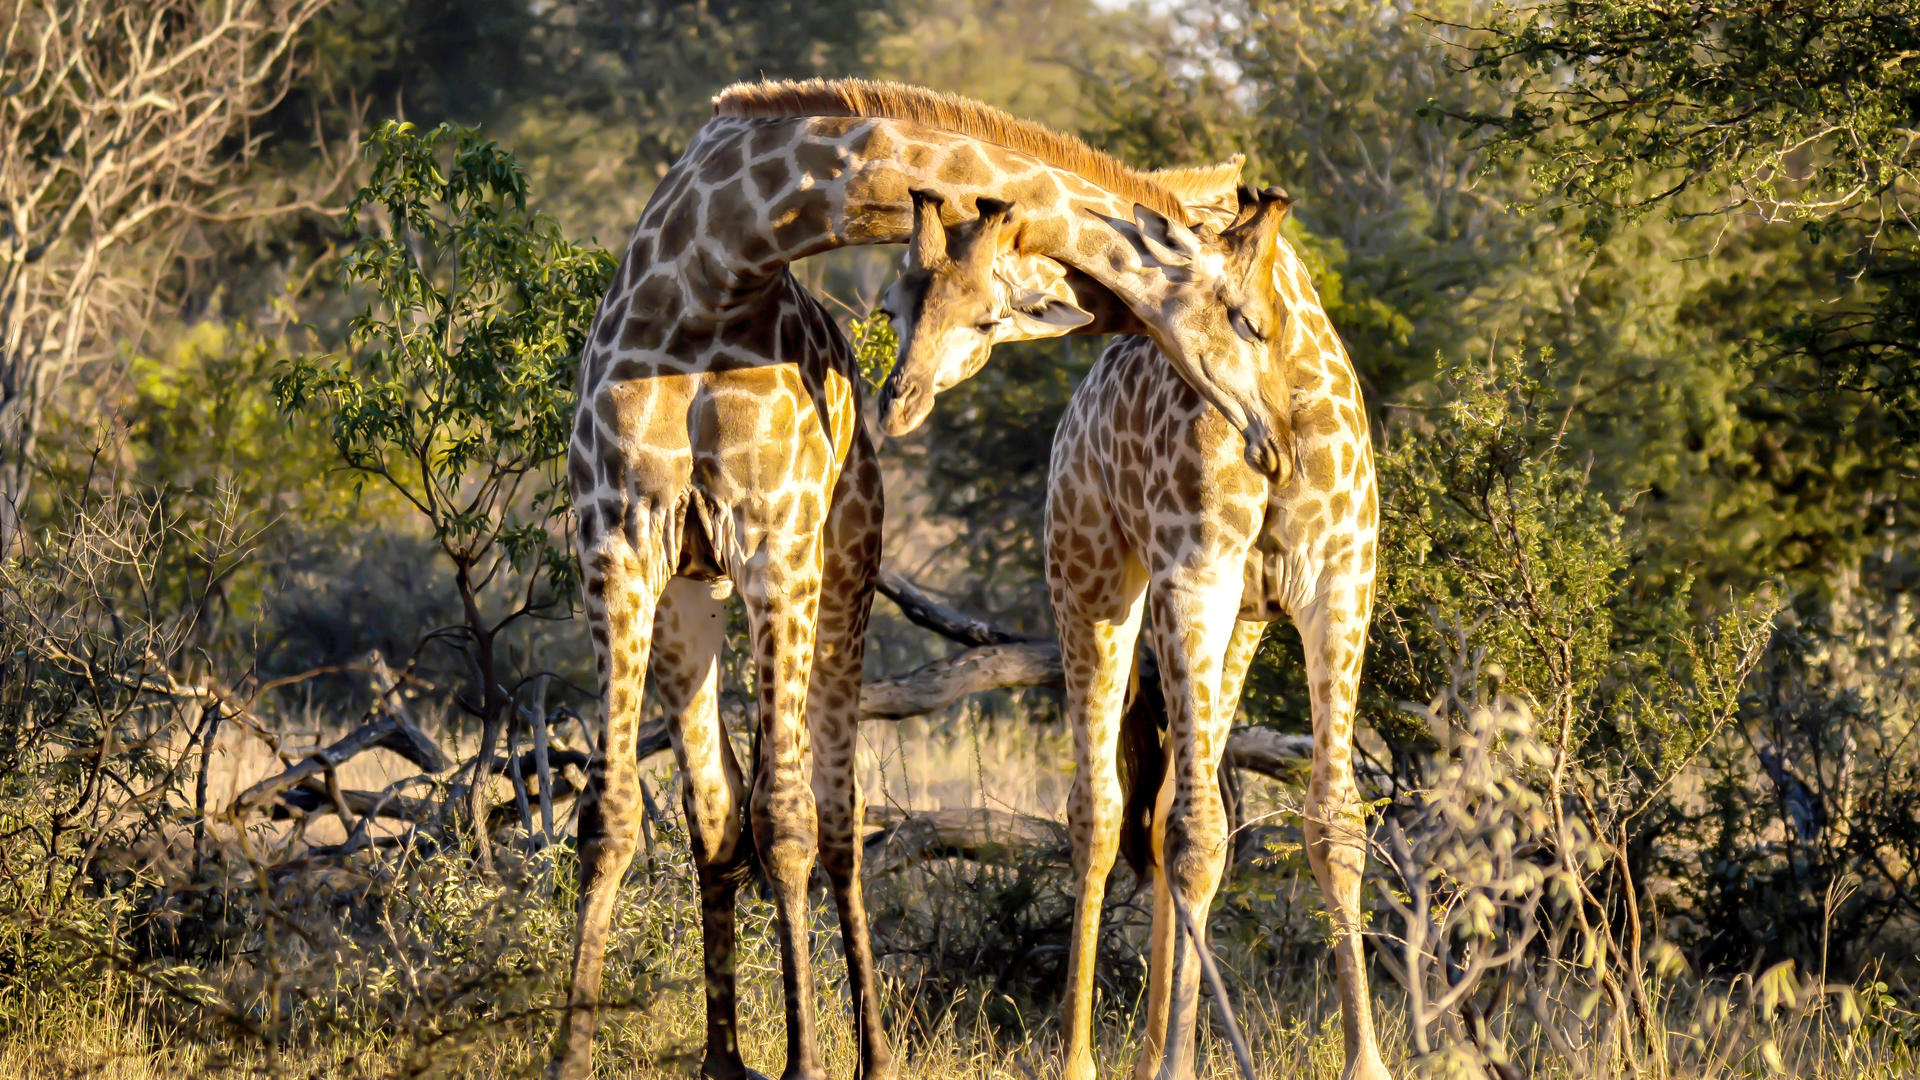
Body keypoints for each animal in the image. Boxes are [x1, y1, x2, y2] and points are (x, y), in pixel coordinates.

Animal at [555, 78, 1304, 1080]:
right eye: (1250, 318)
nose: (1279, 440)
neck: (710, 271)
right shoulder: (617, 544)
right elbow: (608, 817)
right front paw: (568, 1052)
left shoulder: (777, 541)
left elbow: (785, 819)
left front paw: (805, 1063)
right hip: (689, 599)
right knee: (713, 812)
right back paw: (723, 1059)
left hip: (837, 573)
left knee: (833, 815)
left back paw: (868, 1053)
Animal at [882, 188, 1392, 1080]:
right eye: (895, 305)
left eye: (986, 314)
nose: (898, 397)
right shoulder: (1195, 573)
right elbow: (1198, 833)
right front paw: (1180, 1060)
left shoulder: (1339, 579)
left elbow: (1333, 823)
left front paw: (1366, 1061)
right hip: (1089, 578)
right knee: (1100, 810)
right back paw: (1081, 1055)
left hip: (1238, 624)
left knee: (1158, 812)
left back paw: (1152, 1043)